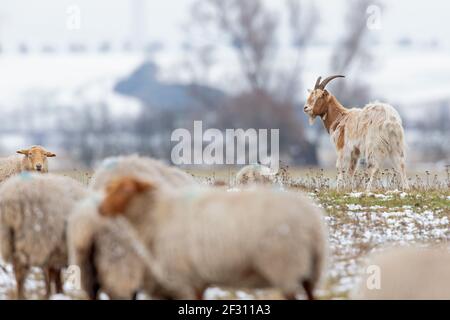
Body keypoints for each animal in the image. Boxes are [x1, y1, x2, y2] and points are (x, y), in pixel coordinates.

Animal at [99, 176, 330, 298]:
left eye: (123, 190)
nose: (101, 209)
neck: (156, 214)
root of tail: (312, 221)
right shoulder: (199, 280)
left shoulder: (187, 278)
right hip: (310, 271)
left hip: (285, 266)